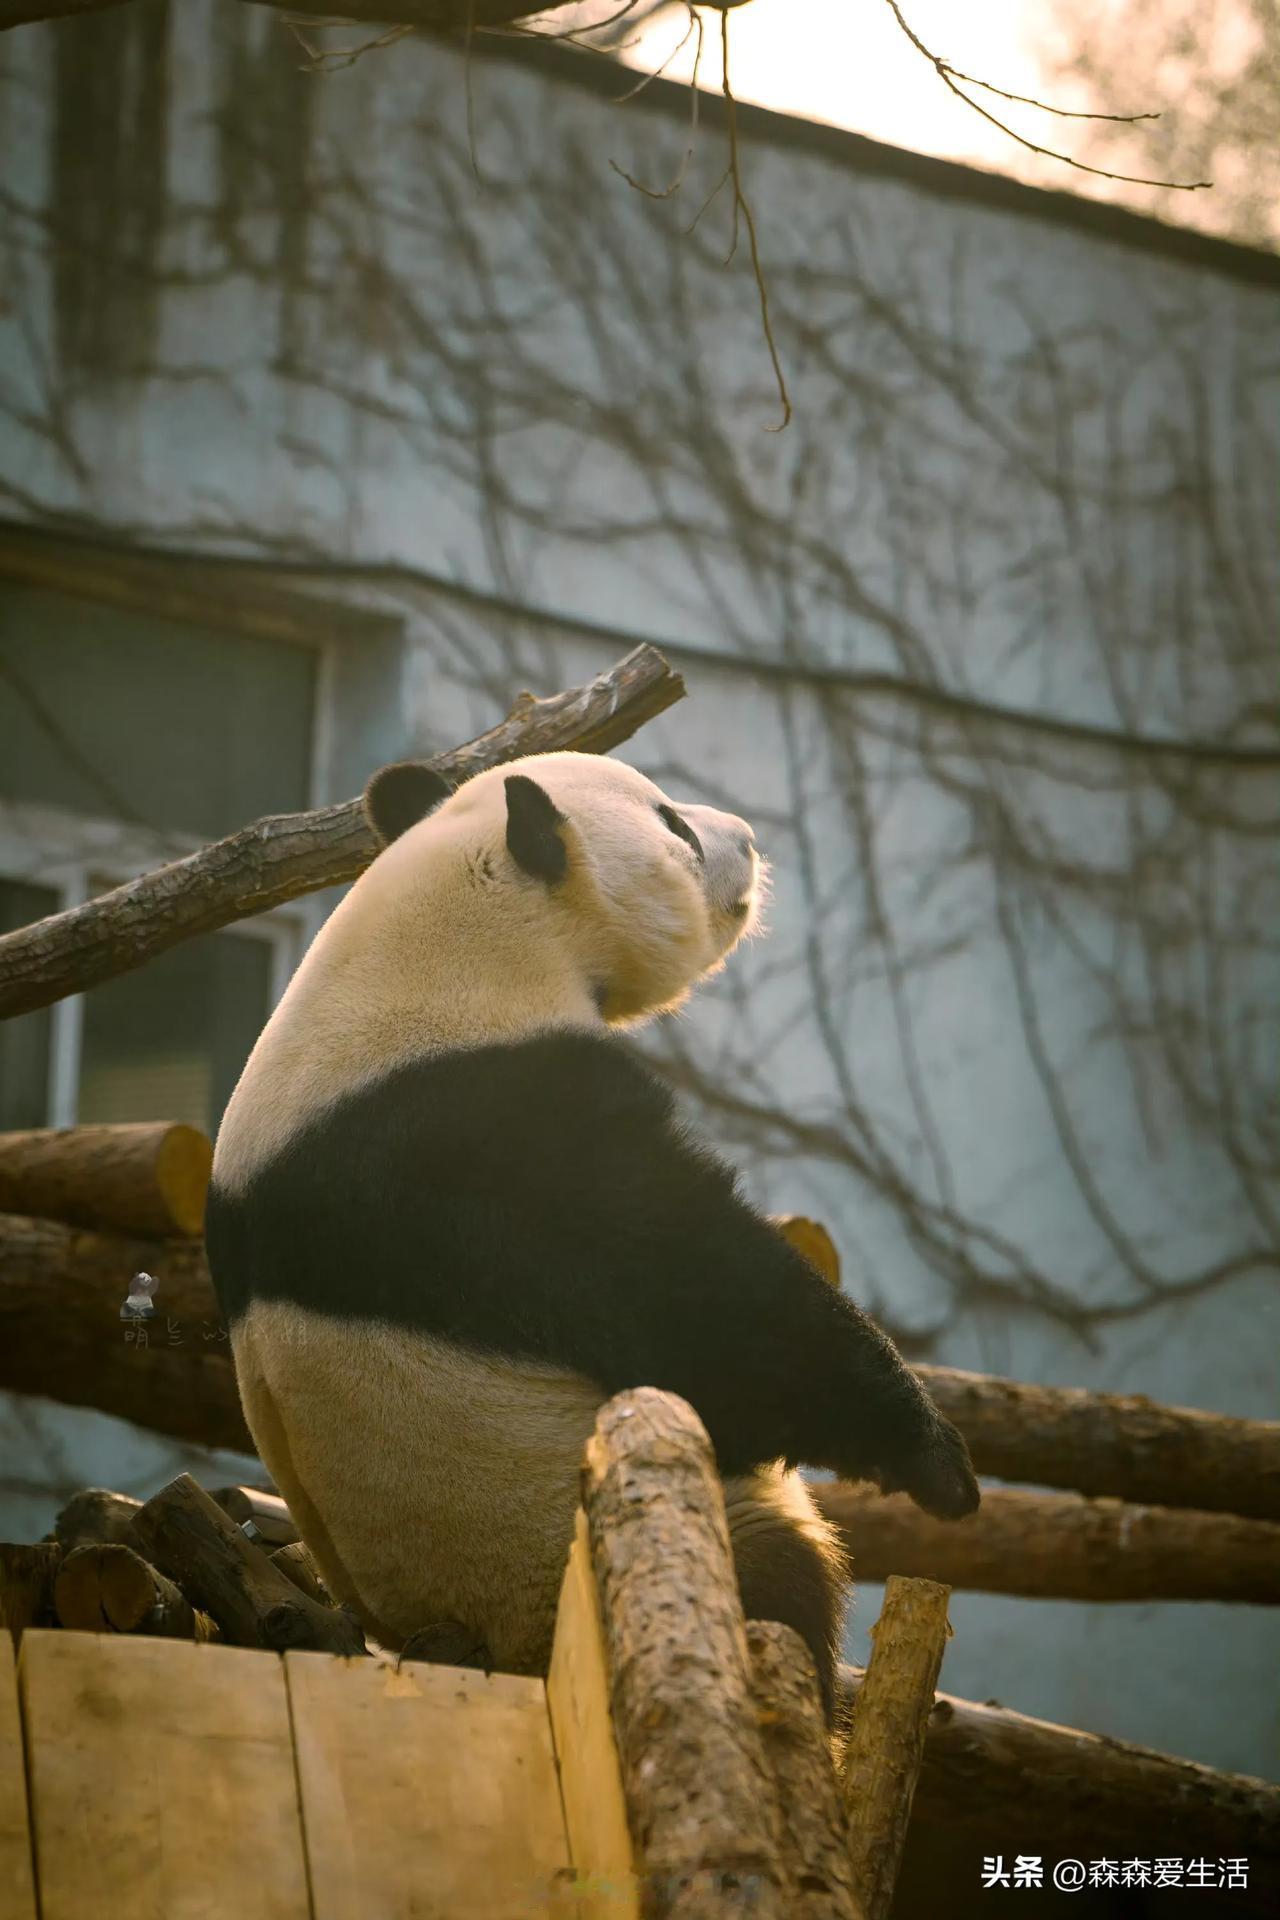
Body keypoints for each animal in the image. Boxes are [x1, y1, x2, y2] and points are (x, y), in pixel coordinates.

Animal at [208, 744, 982, 1712]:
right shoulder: (494, 1134)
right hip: (567, 1550)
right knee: (780, 1579)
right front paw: (939, 1463)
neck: (459, 935)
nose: (748, 839)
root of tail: (454, 1644)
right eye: (674, 825)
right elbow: (705, 1311)